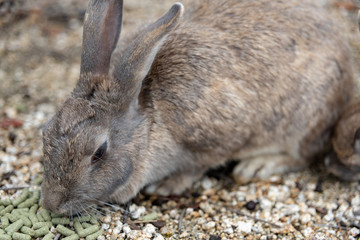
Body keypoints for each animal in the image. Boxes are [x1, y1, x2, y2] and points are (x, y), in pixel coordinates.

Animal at [40, 0, 352, 214]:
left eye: (99, 152)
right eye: (45, 132)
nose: (51, 205)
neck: (150, 117)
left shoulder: (216, 135)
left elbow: (198, 166)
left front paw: (168, 185)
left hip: (305, 121)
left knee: (304, 154)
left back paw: (258, 166)